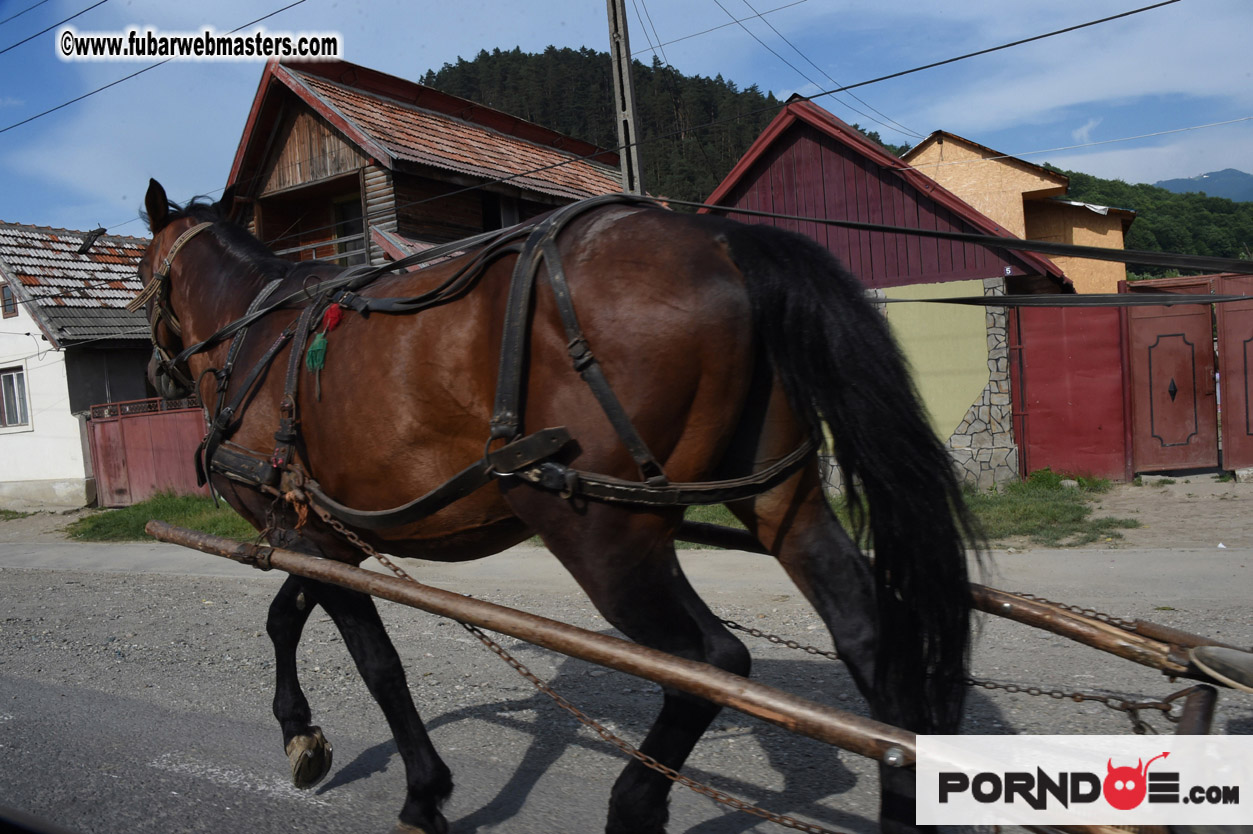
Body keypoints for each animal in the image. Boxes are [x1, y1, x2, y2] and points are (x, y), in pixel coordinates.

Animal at [134, 176, 977, 831]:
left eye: (141, 274)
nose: (156, 371)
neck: (257, 335)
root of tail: (721, 243)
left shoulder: (308, 534)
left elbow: (377, 664)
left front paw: (422, 794)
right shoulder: (320, 533)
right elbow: (285, 617)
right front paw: (300, 735)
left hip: (601, 535)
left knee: (709, 662)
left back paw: (634, 804)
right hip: (781, 498)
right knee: (868, 637)